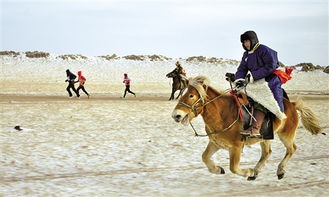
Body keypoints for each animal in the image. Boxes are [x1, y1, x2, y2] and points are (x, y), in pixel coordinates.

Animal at [170, 75, 322, 180]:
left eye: (191, 95)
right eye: (182, 94)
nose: (176, 115)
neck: (223, 114)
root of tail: (292, 105)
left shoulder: (236, 147)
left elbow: (233, 168)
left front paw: (248, 171)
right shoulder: (216, 143)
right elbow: (204, 157)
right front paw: (218, 170)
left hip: (286, 135)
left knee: (291, 149)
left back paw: (279, 171)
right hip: (266, 137)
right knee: (267, 153)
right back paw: (256, 172)